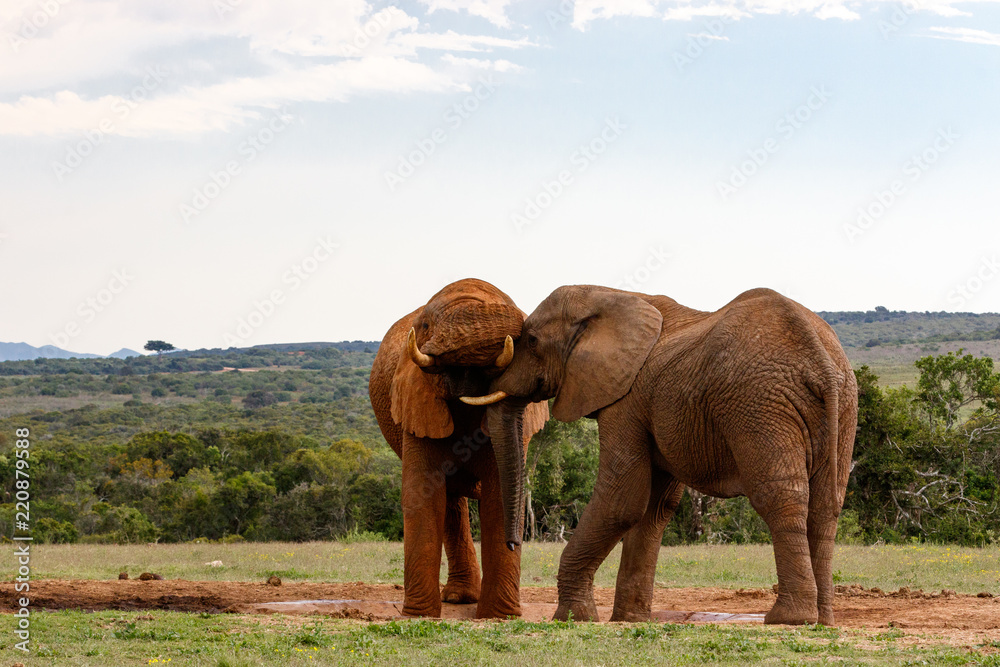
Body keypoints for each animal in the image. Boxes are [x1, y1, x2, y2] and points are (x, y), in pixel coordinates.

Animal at [369, 278, 549, 619]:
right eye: (425, 325)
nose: (514, 543)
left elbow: (498, 495)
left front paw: (499, 616)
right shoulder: (415, 401)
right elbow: (421, 493)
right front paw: (419, 615)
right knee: (451, 502)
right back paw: (458, 598)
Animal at [461, 286, 857, 626]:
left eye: (531, 340)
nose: (514, 542)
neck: (611, 295)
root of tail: (821, 360)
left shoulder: (625, 399)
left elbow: (622, 500)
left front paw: (572, 618)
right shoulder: (650, 405)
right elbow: (654, 507)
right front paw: (628, 619)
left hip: (760, 403)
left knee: (780, 496)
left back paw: (789, 619)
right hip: (843, 404)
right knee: (826, 505)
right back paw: (823, 620)